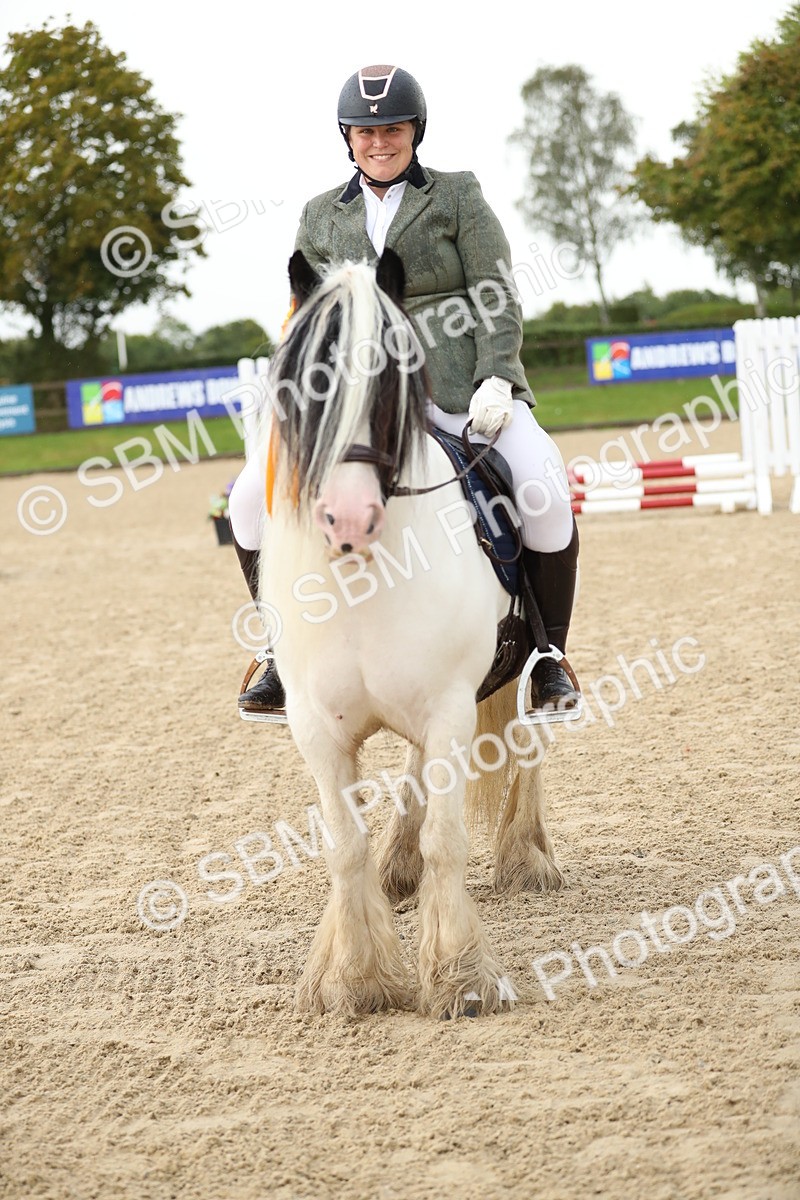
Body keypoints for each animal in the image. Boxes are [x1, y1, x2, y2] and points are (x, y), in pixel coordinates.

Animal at [257, 248, 564, 1018]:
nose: (347, 517)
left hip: (524, 672)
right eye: (304, 384)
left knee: (528, 745)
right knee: (417, 776)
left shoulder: (452, 706)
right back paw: (398, 871)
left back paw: (527, 857)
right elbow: (345, 846)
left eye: (394, 378)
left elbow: (448, 840)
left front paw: (461, 976)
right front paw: (354, 979)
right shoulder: (316, 727)